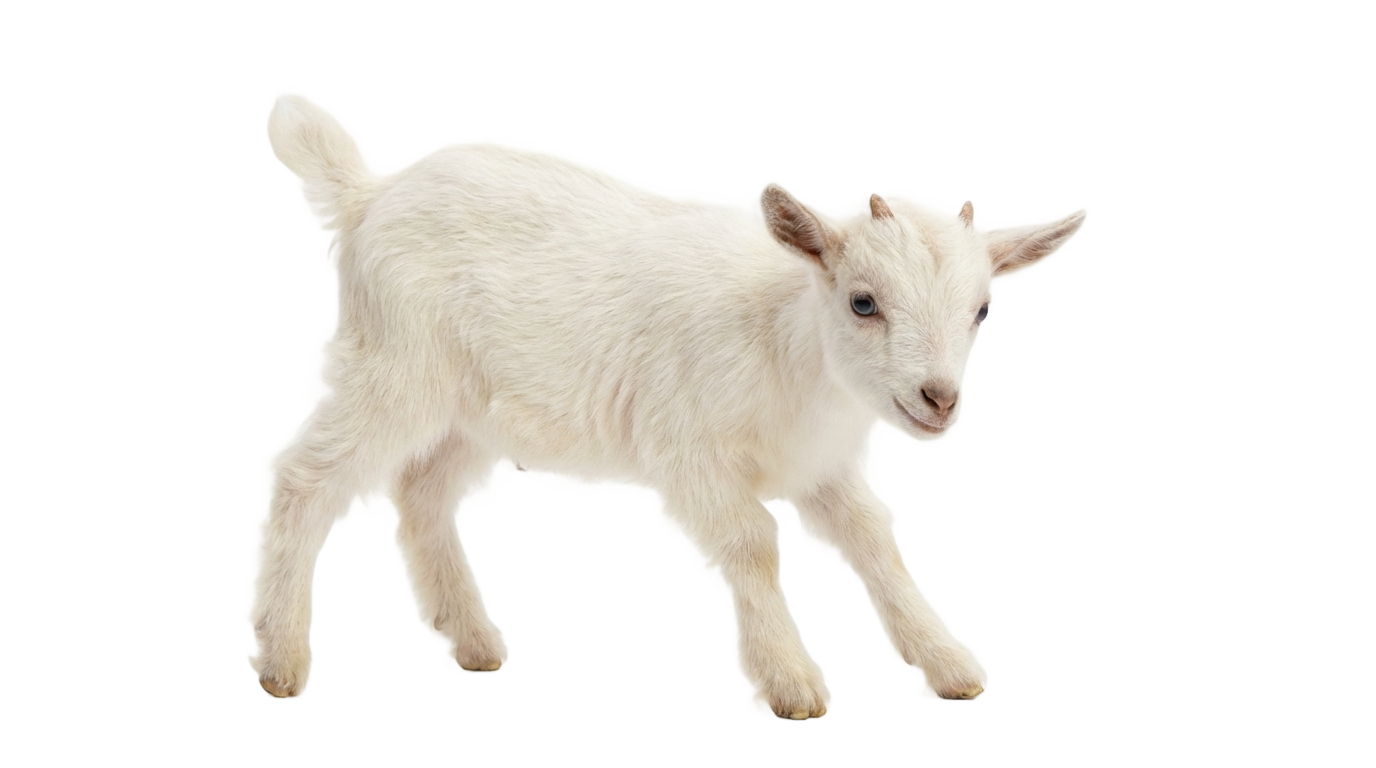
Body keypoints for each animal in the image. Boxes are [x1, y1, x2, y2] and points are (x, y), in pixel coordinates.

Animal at [254, 99, 1082, 718]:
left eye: (978, 311)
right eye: (862, 301)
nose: (938, 398)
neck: (778, 340)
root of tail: (366, 198)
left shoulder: (817, 468)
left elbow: (879, 547)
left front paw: (950, 667)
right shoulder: (690, 455)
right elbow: (752, 548)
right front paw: (793, 686)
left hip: (475, 410)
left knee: (419, 491)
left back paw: (476, 647)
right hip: (393, 370)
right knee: (304, 483)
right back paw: (280, 662)